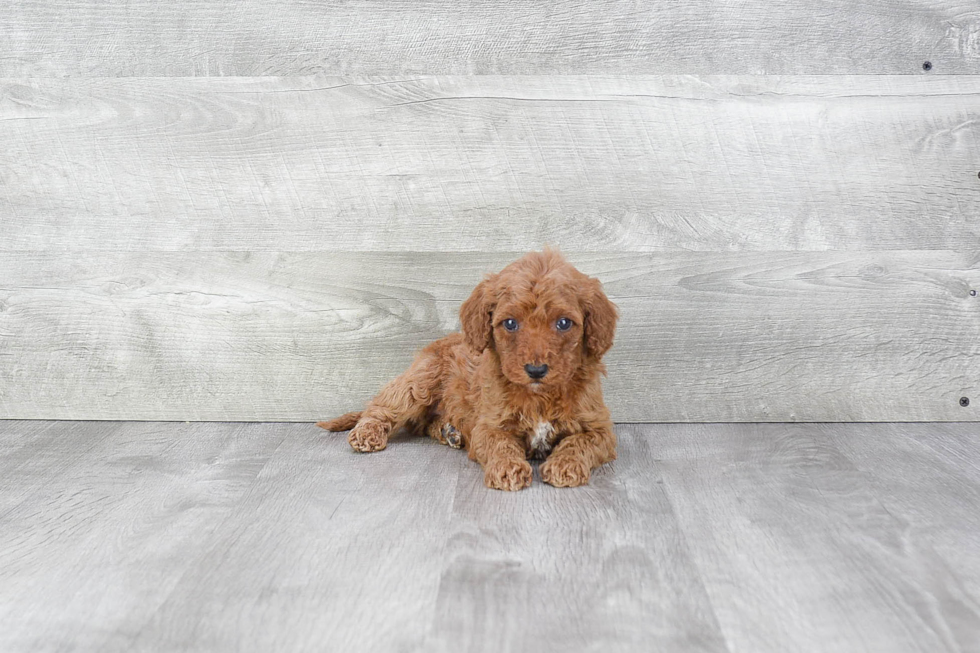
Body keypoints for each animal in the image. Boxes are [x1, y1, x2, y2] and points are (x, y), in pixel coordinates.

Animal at [318, 250, 616, 488]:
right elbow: (500, 443)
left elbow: (579, 442)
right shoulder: (489, 425)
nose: (536, 370)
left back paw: (449, 432)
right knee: (384, 406)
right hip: (420, 380)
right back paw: (367, 432)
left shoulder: (600, 429)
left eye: (564, 323)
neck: (539, 396)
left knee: (420, 424)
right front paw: (507, 468)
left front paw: (564, 465)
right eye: (510, 323)